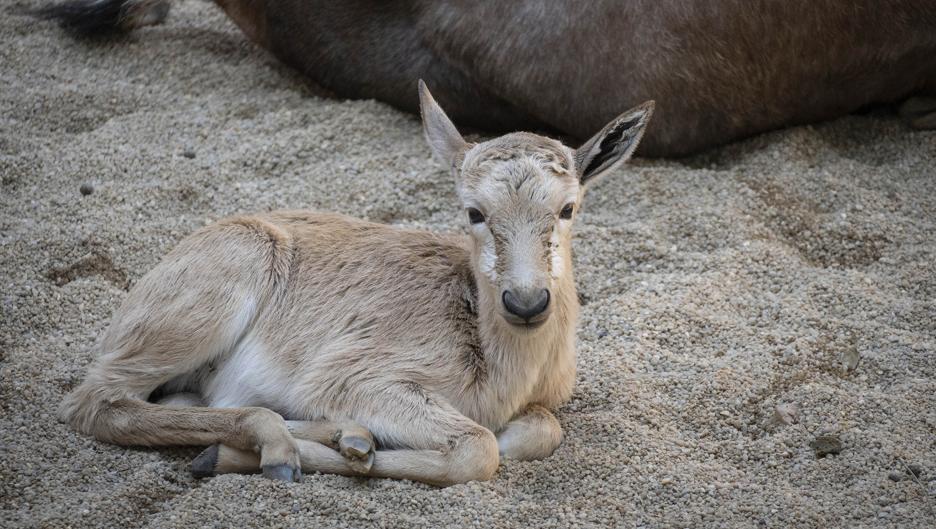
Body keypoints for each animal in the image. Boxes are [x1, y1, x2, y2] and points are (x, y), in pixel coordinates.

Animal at [58, 81, 656, 482]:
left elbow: (538, 431)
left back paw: (338, 436)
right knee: (95, 403)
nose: (526, 301)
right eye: (474, 211)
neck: (502, 366)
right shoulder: (352, 377)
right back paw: (277, 450)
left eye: (568, 207)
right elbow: (478, 448)